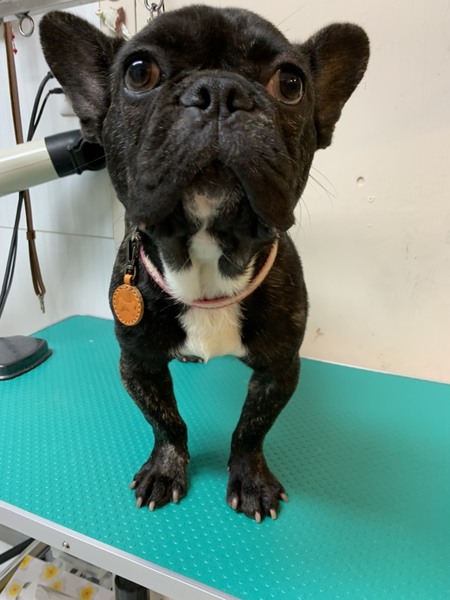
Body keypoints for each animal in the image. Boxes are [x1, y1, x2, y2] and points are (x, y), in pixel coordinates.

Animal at [40, 5, 369, 522]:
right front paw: (165, 469)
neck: (206, 264)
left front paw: (251, 479)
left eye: (290, 84)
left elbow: (251, 428)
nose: (217, 92)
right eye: (139, 72)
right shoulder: (138, 363)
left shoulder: (280, 368)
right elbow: (166, 422)